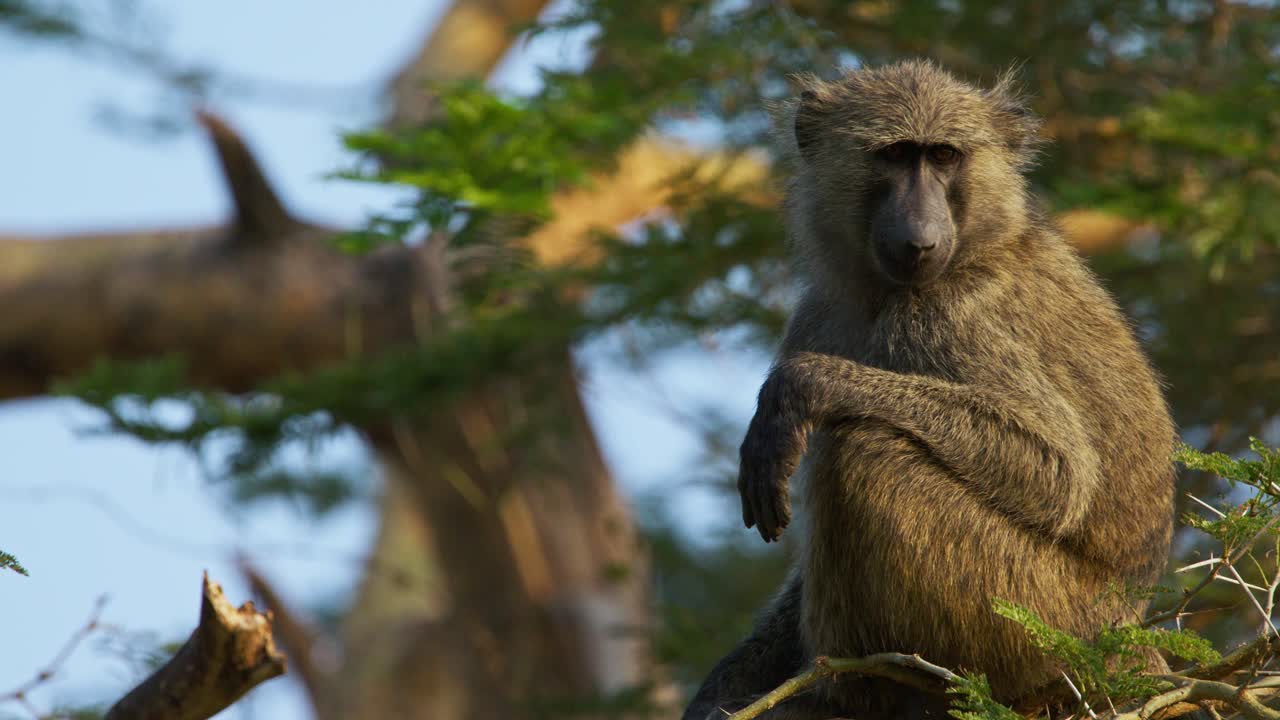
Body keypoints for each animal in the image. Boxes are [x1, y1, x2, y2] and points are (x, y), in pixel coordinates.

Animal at [682, 60, 1176, 720]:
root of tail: (1130, 633)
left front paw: (799, 390)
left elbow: (1058, 473)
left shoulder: (950, 313)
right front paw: (721, 689)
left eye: (943, 156)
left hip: (1045, 623)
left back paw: (847, 696)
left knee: (861, 455)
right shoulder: (817, 312)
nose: (919, 239)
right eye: (894, 155)